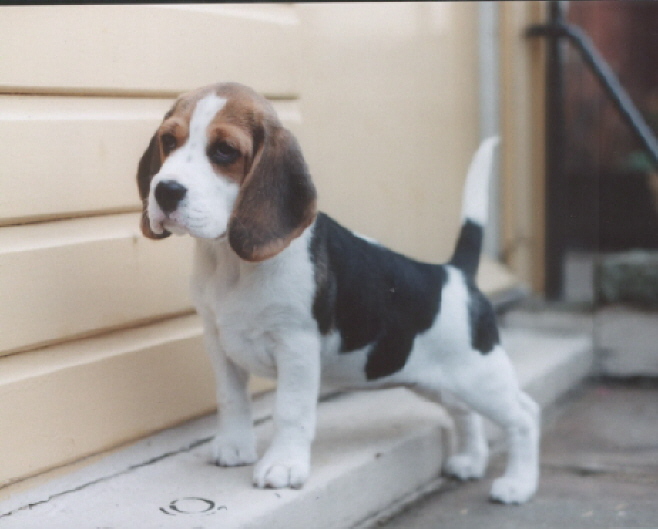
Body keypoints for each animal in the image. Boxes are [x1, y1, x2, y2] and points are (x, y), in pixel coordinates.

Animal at [135, 82, 540, 504]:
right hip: (438, 382)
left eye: (225, 150)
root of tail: (455, 273)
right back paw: (471, 461)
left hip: (481, 376)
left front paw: (283, 466)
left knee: (525, 415)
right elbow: (231, 399)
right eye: (168, 140)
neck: (230, 261)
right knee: (464, 411)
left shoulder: (295, 346)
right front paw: (234, 447)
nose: (164, 191)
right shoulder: (218, 341)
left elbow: (290, 411)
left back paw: (518, 484)